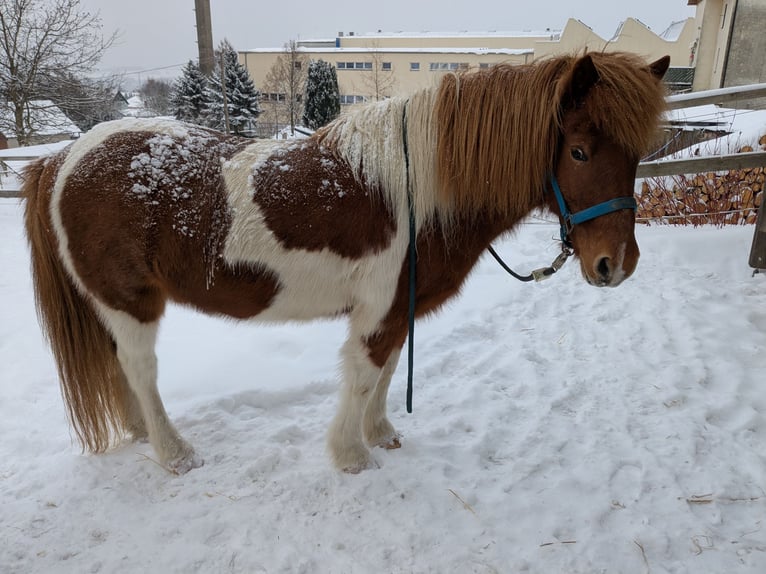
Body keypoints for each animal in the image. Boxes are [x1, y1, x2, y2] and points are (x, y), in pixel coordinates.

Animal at [23, 51, 670, 474]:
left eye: (637, 154)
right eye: (579, 151)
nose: (616, 264)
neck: (421, 191)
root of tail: (65, 158)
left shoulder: (399, 308)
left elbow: (386, 373)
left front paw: (380, 434)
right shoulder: (377, 309)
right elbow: (362, 376)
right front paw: (352, 455)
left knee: (120, 370)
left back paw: (139, 432)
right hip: (130, 302)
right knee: (140, 370)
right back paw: (174, 453)